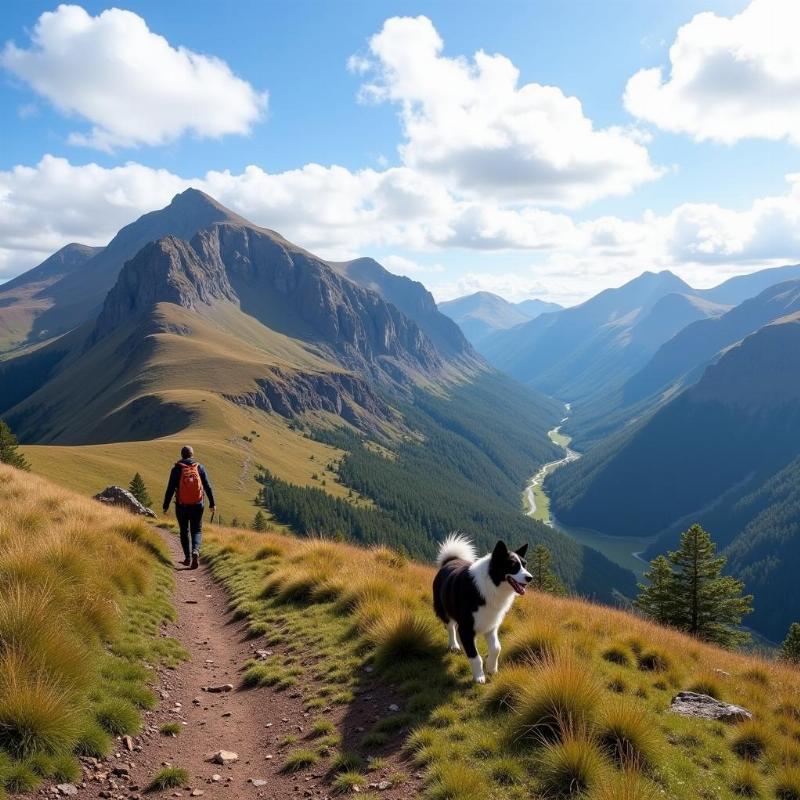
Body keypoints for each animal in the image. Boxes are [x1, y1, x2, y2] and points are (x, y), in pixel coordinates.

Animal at [432, 536, 532, 684]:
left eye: (524, 565)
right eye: (513, 565)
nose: (530, 578)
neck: (491, 584)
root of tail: (451, 560)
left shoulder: (490, 624)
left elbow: (496, 648)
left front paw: (492, 668)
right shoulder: (467, 627)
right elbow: (475, 656)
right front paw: (479, 676)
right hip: (445, 609)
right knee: (450, 627)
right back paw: (454, 645)